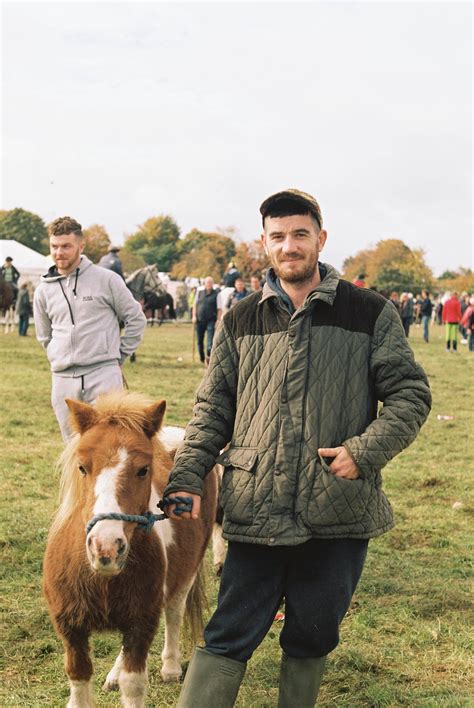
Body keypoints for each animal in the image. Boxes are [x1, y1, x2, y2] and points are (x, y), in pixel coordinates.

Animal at [43, 391, 217, 708]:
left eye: (143, 470)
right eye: (82, 467)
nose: (106, 548)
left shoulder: (141, 623)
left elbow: (133, 682)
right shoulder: (70, 627)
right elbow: (78, 677)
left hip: (186, 574)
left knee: (174, 612)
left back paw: (171, 667)